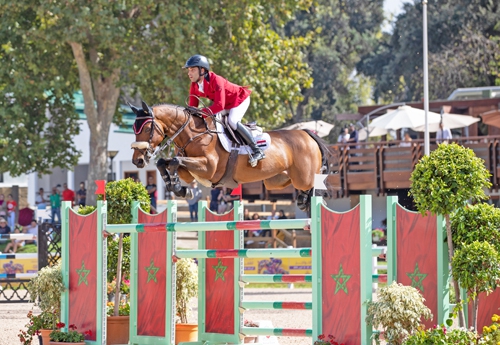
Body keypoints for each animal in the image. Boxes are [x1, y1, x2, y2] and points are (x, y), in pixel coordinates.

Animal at [130, 101, 332, 211]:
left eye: (146, 129)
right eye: (133, 128)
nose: (137, 160)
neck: (194, 134)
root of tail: (307, 134)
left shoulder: (208, 168)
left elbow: (174, 160)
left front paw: (180, 188)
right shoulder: (190, 172)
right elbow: (164, 162)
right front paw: (180, 188)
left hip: (303, 177)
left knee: (315, 185)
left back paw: (308, 201)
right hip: (277, 180)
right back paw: (303, 201)